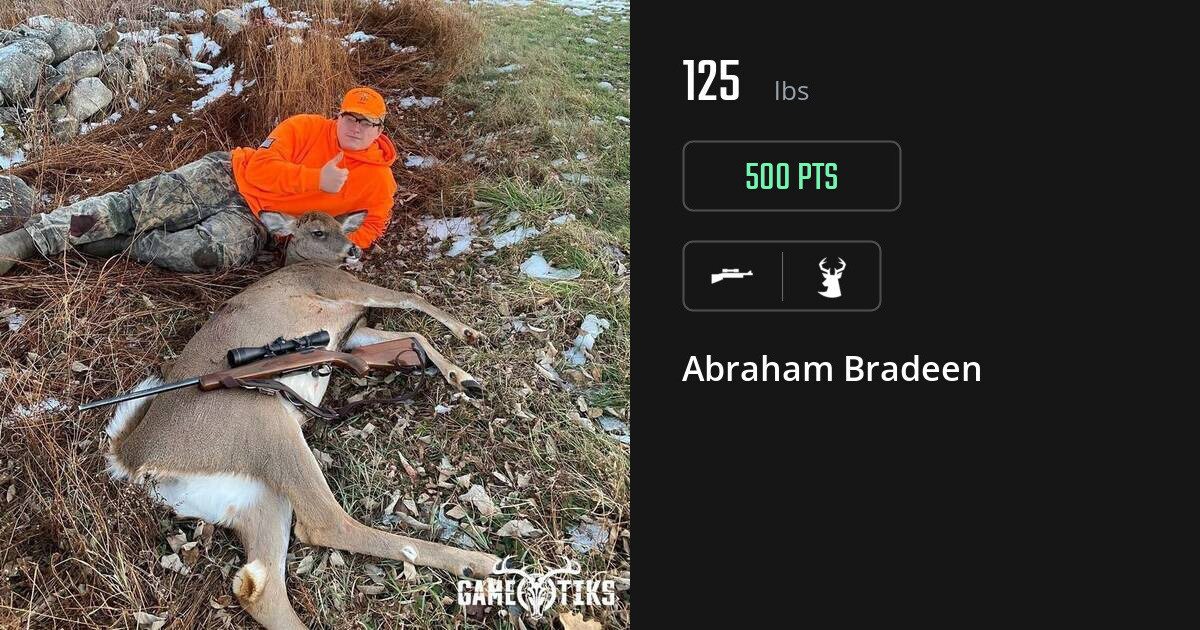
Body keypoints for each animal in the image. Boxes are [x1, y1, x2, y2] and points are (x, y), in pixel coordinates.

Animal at [101, 210, 500, 629]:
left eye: (344, 227)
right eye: (318, 231)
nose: (352, 249)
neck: (304, 264)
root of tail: (130, 459)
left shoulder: (349, 331)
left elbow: (412, 334)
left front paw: (463, 376)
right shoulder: (339, 288)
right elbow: (413, 302)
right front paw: (469, 338)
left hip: (253, 497)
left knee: (260, 589)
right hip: (267, 426)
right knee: (325, 524)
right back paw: (478, 562)